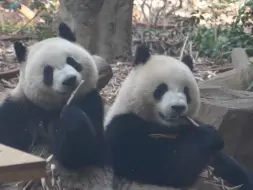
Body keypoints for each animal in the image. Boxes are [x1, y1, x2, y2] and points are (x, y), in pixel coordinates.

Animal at [0, 23, 105, 170]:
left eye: (72, 61)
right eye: (48, 71)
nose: (69, 80)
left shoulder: (90, 100)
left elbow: (89, 153)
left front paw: (68, 117)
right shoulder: (18, 108)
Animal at [104, 44, 253, 189]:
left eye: (186, 91)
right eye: (161, 88)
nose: (178, 107)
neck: (166, 127)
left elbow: (229, 165)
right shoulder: (122, 130)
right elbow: (164, 165)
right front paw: (209, 135)